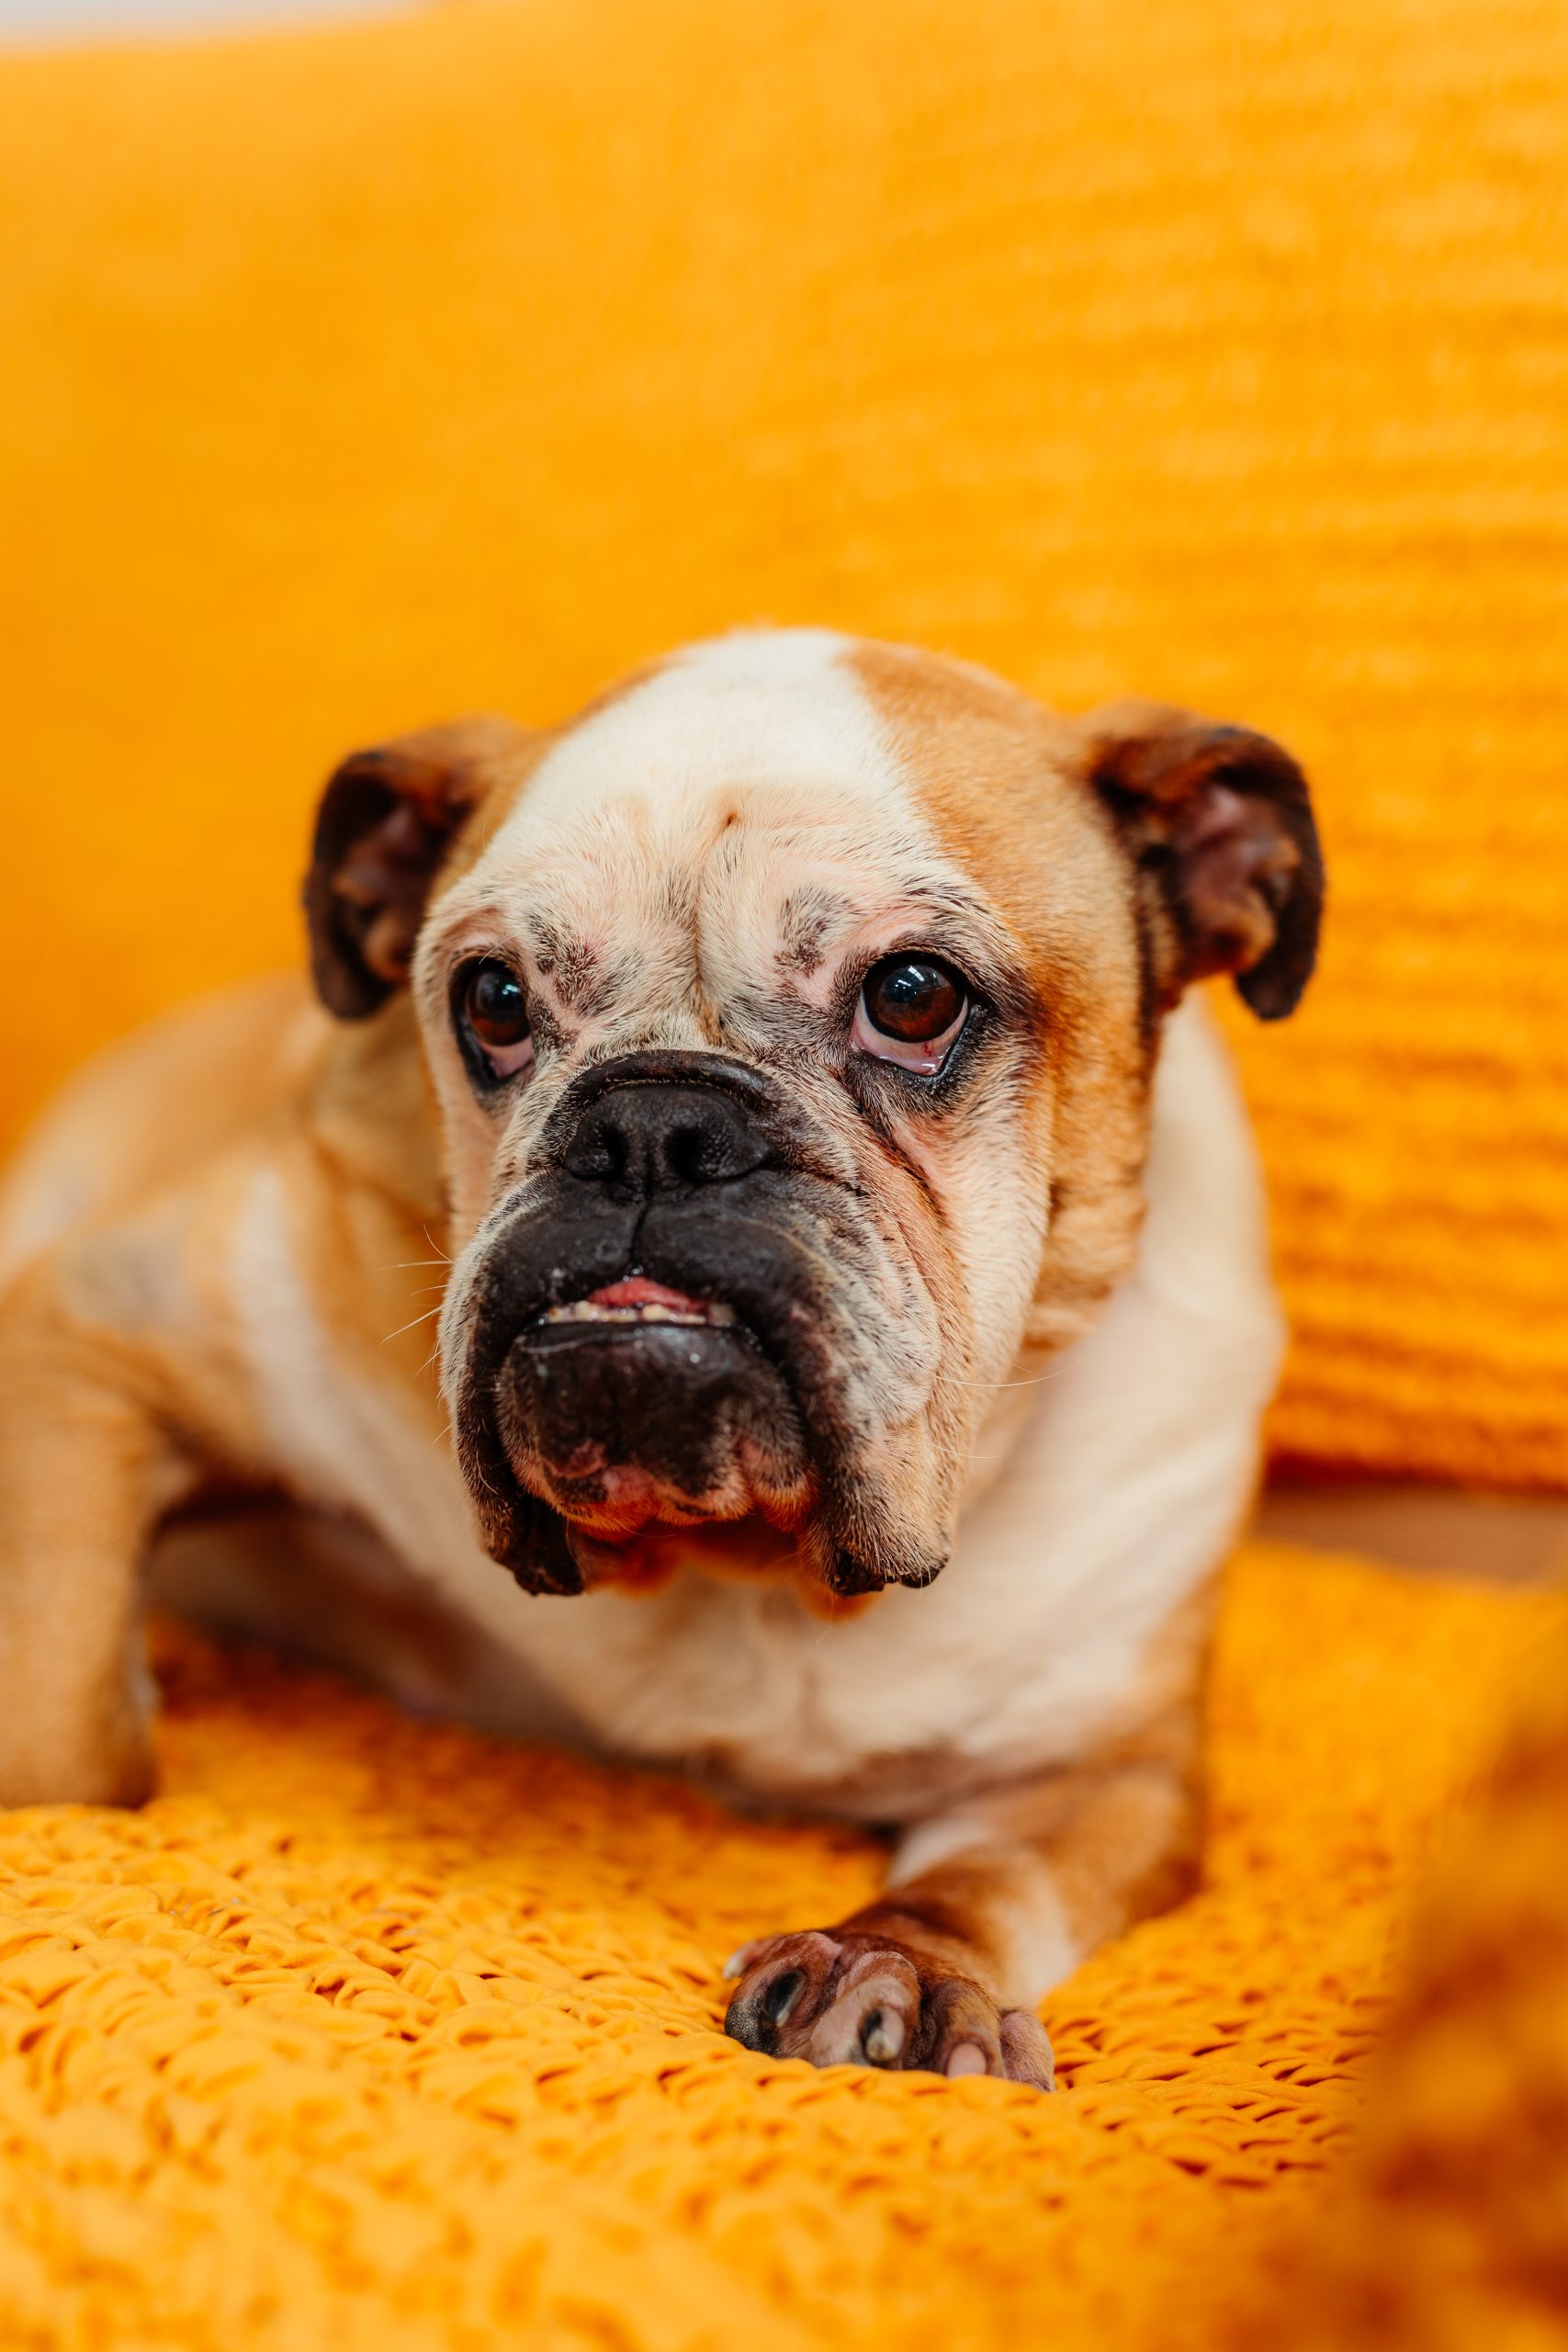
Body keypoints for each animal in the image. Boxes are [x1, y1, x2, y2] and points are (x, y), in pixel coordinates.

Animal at [0, 635, 1325, 2088]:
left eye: (913, 996)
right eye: (492, 1002)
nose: (650, 1122)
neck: (747, 1574)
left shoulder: (1111, 1769)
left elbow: (987, 1885)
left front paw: (900, 1967)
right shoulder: (90, 1333)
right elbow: (58, 1722)